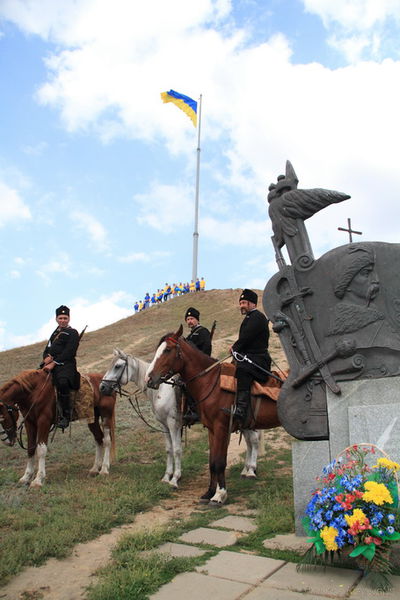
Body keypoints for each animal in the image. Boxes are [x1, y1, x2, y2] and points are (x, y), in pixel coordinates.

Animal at [146, 328, 282, 506]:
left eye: (167, 350)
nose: (150, 378)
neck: (210, 382)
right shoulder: (211, 429)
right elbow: (212, 462)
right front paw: (209, 492)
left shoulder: (219, 427)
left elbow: (219, 462)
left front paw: (219, 495)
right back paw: (248, 471)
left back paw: (250, 471)